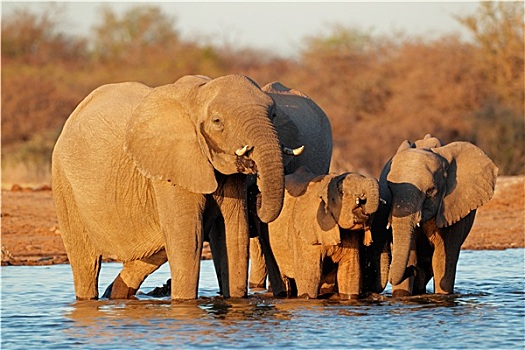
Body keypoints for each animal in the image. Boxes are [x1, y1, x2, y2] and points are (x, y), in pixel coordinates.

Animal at [50, 74, 284, 300]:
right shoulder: (172, 166)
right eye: (217, 121)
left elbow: (234, 234)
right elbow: (188, 240)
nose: (257, 197)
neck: (197, 94)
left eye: (273, 115)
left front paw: (236, 302)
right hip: (63, 182)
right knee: (86, 263)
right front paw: (184, 305)